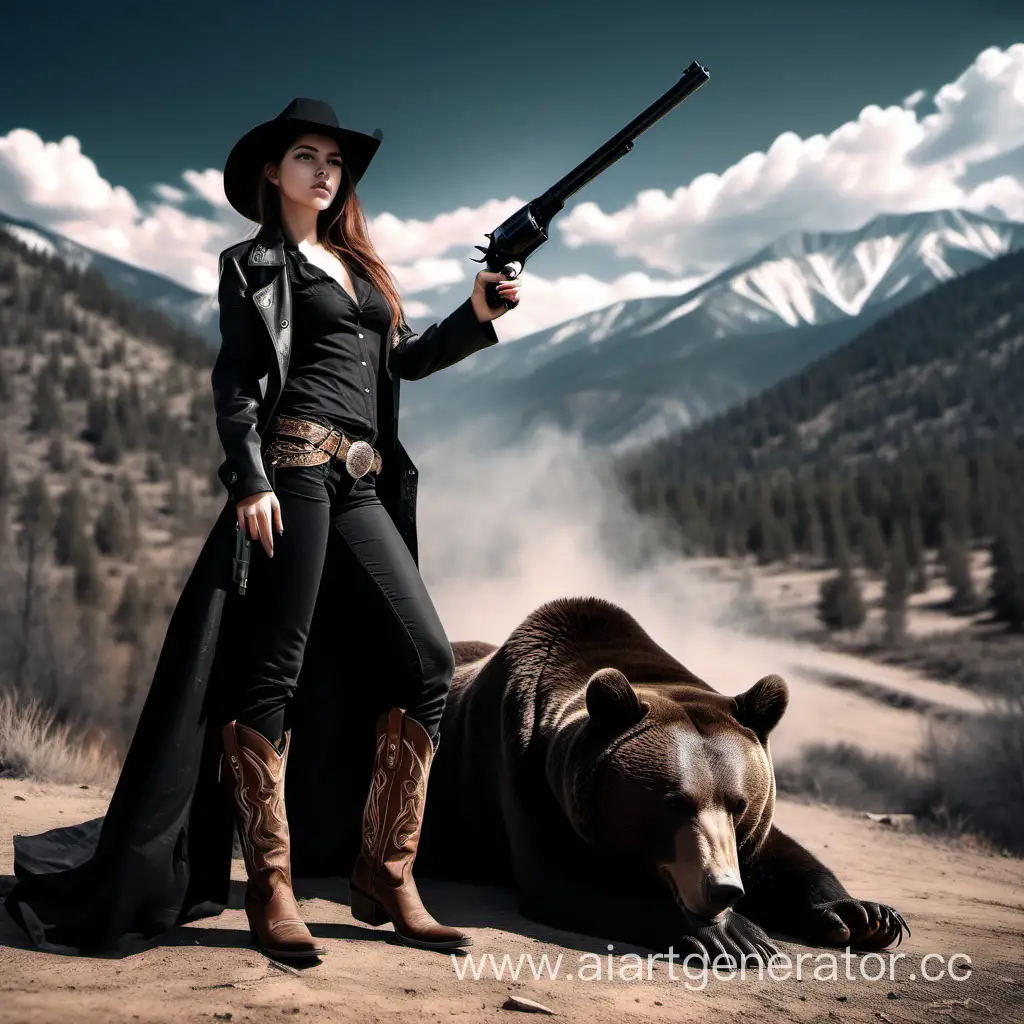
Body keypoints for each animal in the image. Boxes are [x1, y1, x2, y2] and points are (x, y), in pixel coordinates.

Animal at [411, 593, 909, 958]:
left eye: (739, 804)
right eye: (674, 802)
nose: (724, 889)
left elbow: (780, 854)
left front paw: (865, 916)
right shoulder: (526, 777)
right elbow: (566, 877)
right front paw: (737, 936)